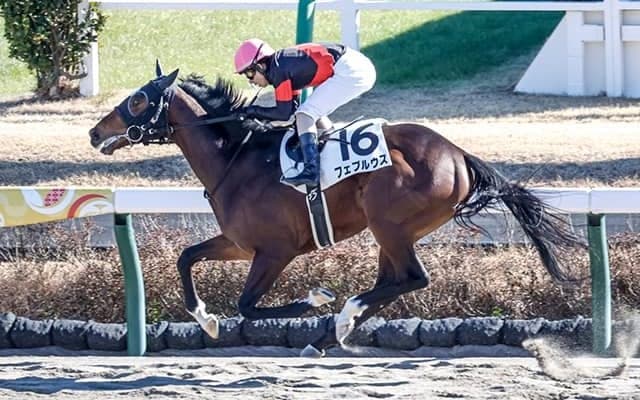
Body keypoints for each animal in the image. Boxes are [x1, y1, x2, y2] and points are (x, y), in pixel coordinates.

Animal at [89, 62, 583, 356]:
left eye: (137, 99)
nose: (95, 132)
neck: (236, 157)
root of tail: (458, 154)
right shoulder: (238, 243)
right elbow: (186, 258)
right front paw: (206, 321)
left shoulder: (275, 251)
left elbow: (248, 306)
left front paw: (314, 298)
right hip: (394, 231)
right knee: (393, 281)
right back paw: (335, 332)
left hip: (389, 224)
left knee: (413, 278)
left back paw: (342, 315)